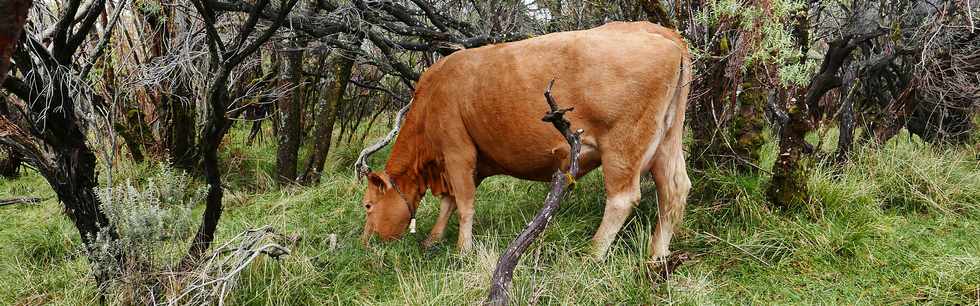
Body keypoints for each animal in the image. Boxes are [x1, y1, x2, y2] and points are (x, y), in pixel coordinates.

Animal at [358, 20, 688, 260]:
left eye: (368, 205)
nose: (364, 243)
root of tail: (659, 31)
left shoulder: (457, 151)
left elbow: (463, 203)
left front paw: (462, 250)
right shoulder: (462, 163)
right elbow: (449, 202)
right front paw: (433, 239)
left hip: (623, 145)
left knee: (623, 198)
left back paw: (592, 254)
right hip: (668, 141)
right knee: (675, 189)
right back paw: (657, 254)